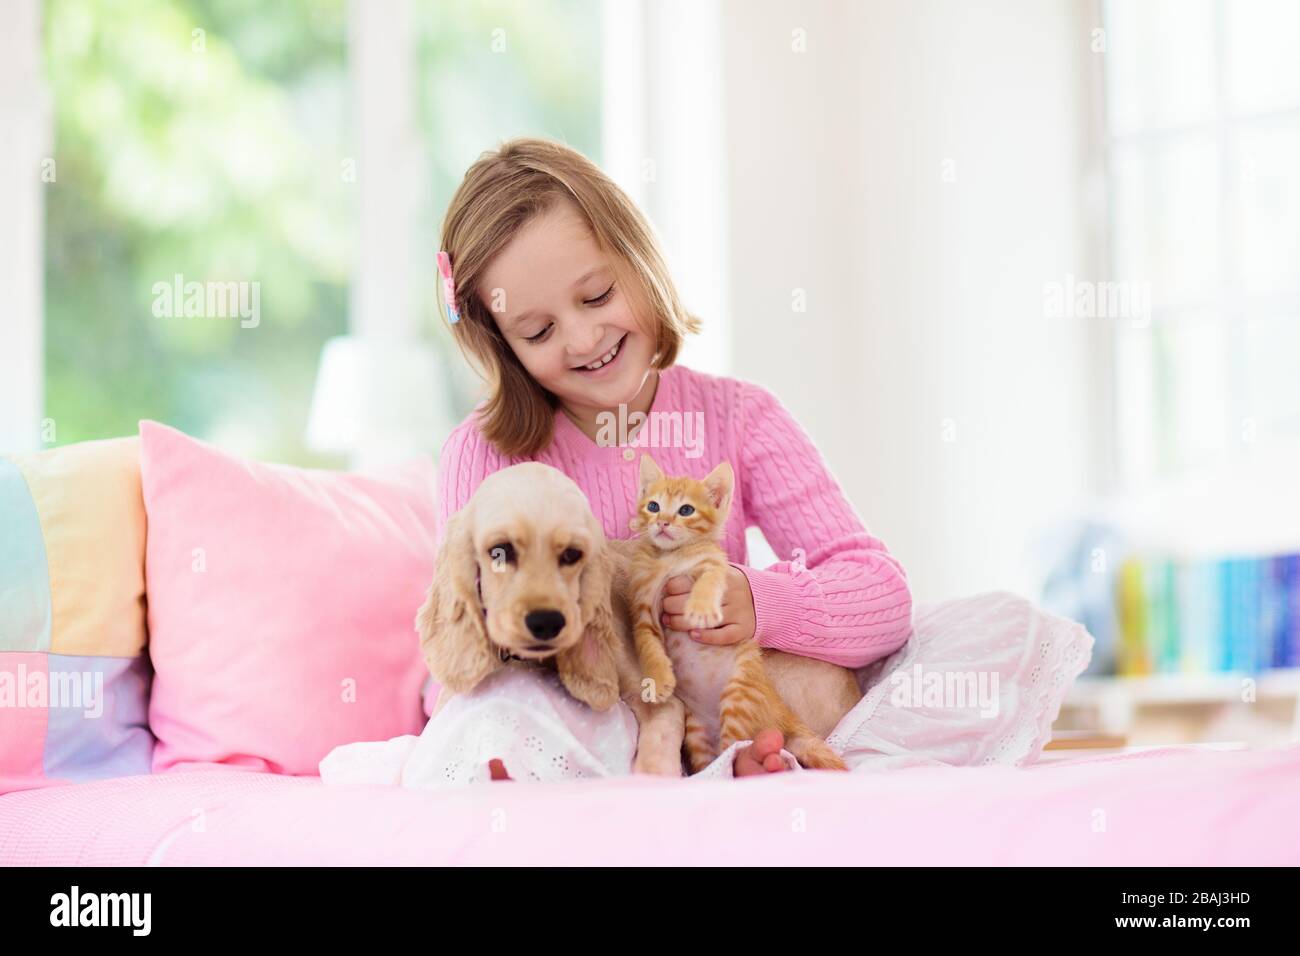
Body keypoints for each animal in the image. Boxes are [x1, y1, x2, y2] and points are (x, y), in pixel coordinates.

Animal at [624, 455, 847, 780]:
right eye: (653, 505)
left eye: (686, 510)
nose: (662, 522)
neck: (670, 558)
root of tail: (784, 713)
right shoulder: (643, 604)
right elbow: (647, 642)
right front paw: (658, 679)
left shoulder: (714, 565)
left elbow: (709, 580)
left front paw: (701, 608)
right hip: (697, 728)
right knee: (716, 757)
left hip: (738, 695)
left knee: (736, 746)